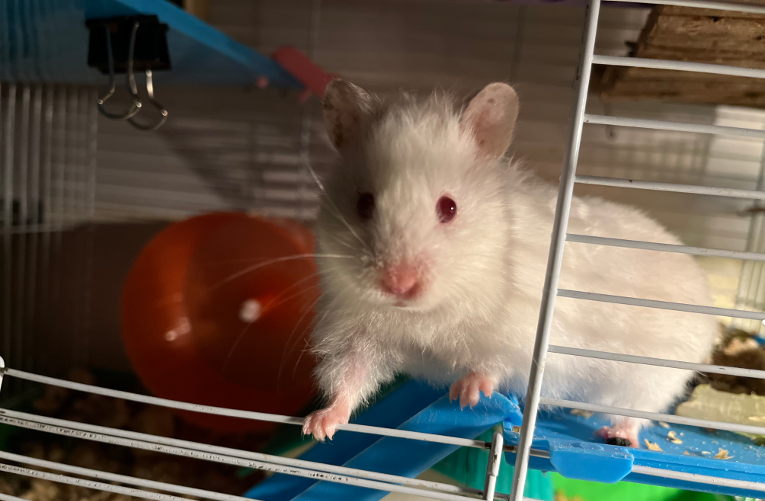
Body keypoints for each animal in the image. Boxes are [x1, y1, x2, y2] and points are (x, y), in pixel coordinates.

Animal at [301, 79, 719, 447]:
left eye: (449, 207)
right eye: (364, 204)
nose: (399, 285)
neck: (425, 312)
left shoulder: (520, 330)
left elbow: (494, 361)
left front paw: (466, 394)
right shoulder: (356, 334)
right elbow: (348, 379)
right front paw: (318, 427)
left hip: (651, 375)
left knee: (638, 410)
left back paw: (617, 435)